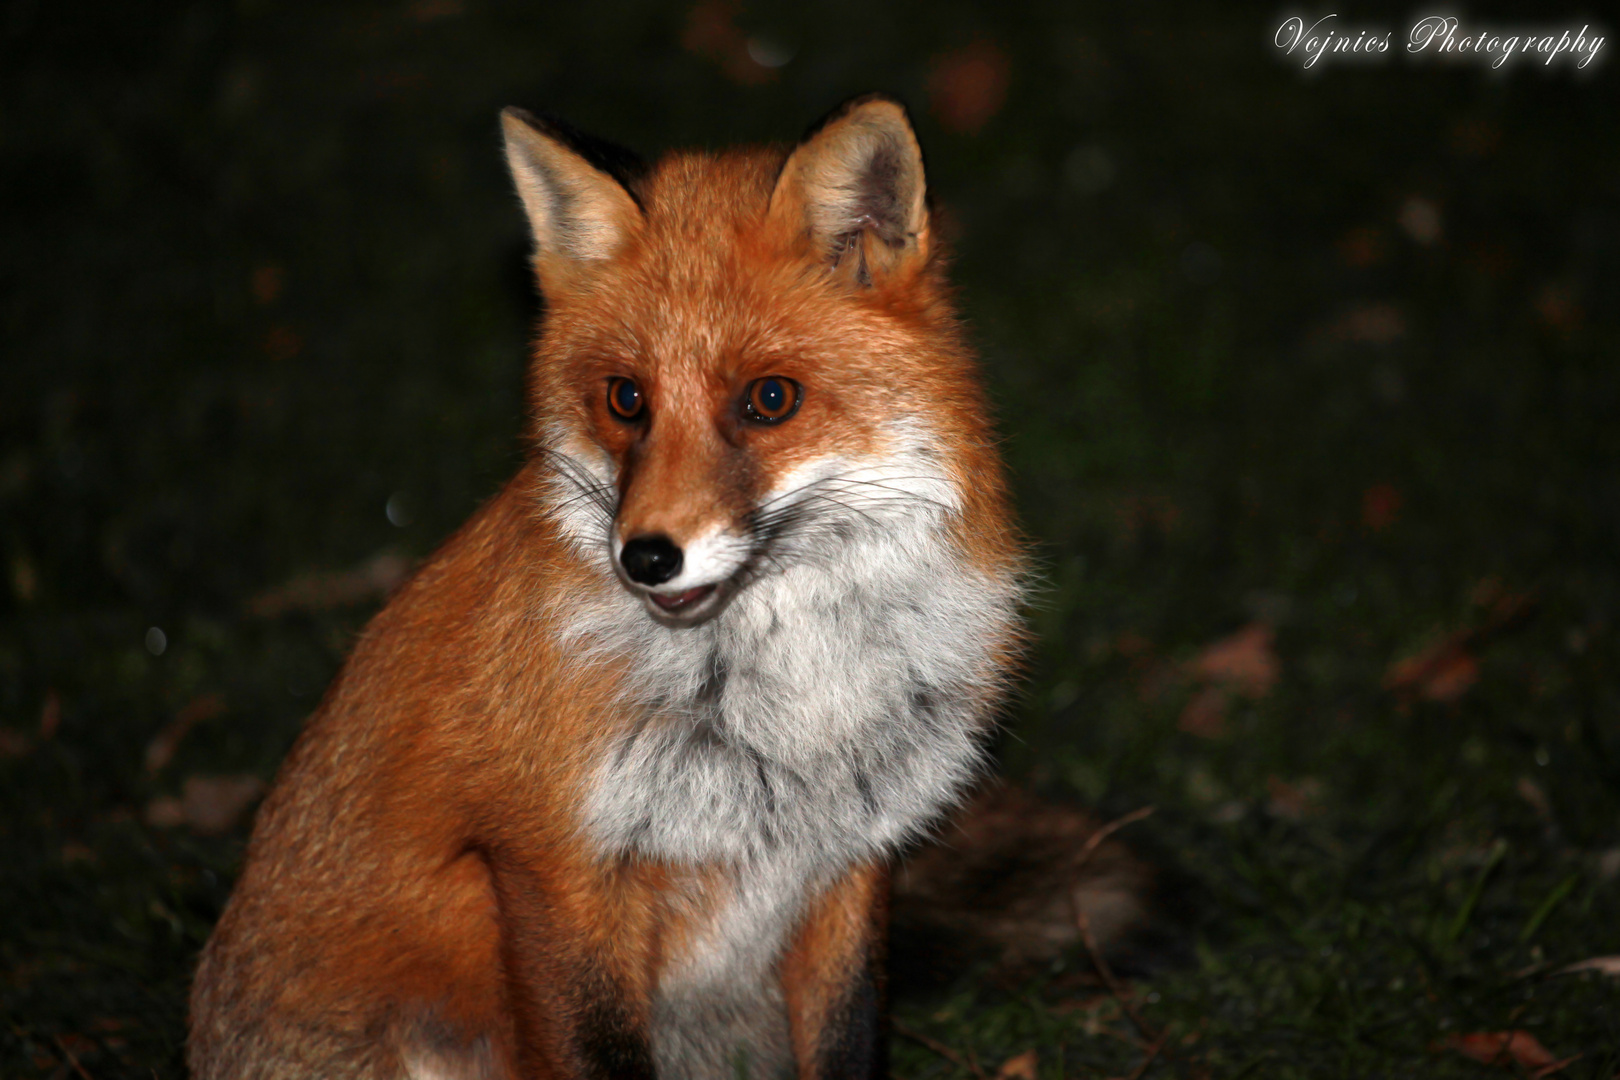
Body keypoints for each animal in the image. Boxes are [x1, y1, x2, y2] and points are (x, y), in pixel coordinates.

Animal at [189, 95, 1017, 1080]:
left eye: (771, 399)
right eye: (626, 399)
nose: (647, 557)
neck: (796, 713)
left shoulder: (851, 860)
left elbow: (848, 1041)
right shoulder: (554, 870)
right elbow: (600, 1053)